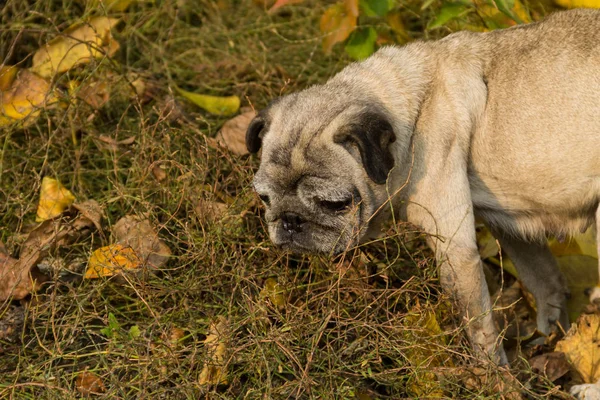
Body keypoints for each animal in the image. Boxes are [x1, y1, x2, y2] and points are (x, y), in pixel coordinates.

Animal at [245, 7, 600, 368]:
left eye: (334, 203)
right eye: (264, 198)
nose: (290, 221)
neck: (413, 114)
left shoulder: (455, 250)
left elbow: (479, 326)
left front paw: (493, 374)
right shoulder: (514, 228)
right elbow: (545, 280)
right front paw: (552, 336)